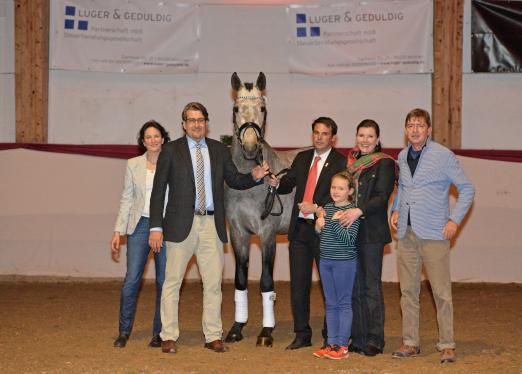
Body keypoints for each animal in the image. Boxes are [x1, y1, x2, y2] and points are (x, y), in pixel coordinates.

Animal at [222, 71, 300, 346]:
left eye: (263, 109)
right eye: (235, 108)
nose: (249, 146)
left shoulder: (267, 235)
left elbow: (266, 282)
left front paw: (266, 332)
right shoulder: (239, 234)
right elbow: (240, 280)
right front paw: (236, 328)